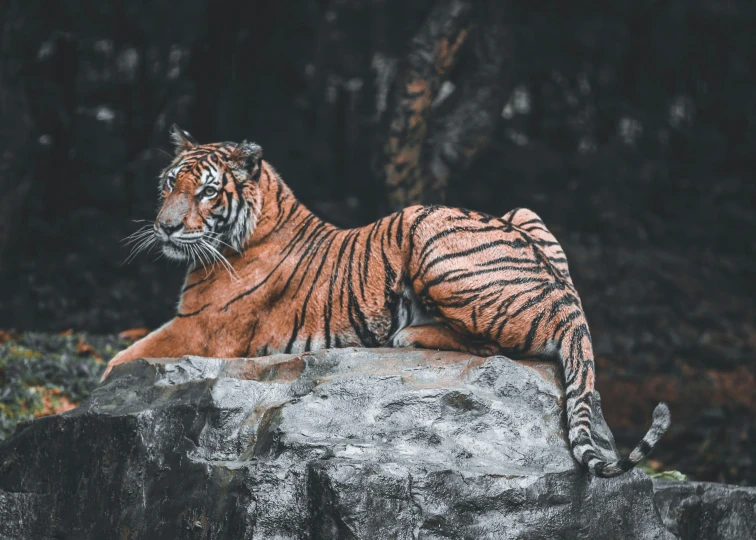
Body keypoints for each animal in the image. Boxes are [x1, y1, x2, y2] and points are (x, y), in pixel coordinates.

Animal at [105, 125, 668, 476]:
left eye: (206, 192)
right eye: (169, 184)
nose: (164, 227)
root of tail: (572, 305)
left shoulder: (198, 327)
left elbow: (120, 360)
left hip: (427, 230)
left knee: (498, 346)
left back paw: (408, 333)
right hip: (524, 211)